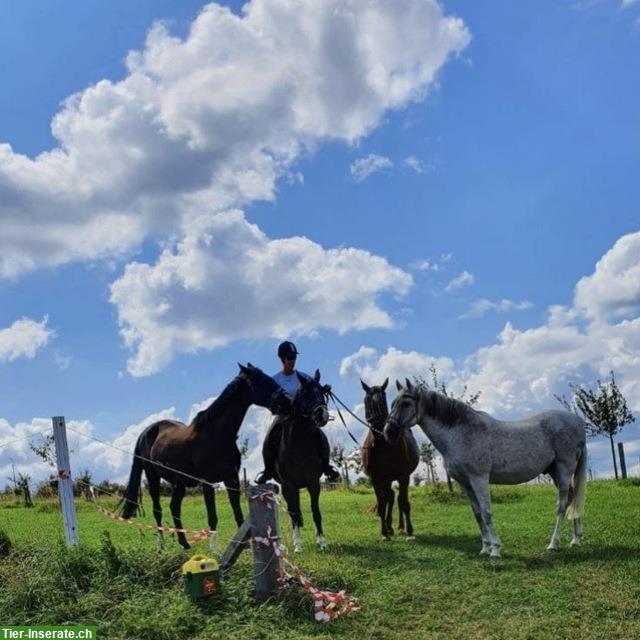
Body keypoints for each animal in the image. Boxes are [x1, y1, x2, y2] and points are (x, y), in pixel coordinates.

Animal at [119, 364, 292, 552]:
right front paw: (214, 549)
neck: (217, 434)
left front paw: (242, 545)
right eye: (262, 381)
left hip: (179, 483)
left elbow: (237, 512)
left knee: (174, 508)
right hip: (153, 477)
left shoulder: (231, 479)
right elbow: (212, 515)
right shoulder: (207, 482)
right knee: (157, 509)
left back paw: (184, 543)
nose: (288, 401)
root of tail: (146, 432)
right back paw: (161, 545)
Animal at [272, 368, 330, 552]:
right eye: (305, 394)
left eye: (322, 392)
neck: (299, 445)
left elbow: (315, 511)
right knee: (293, 511)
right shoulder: (288, 486)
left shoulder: (314, 483)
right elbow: (295, 513)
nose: (323, 415)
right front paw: (298, 545)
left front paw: (321, 542)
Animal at [362, 378, 422, 544]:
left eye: (384, 400)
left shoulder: (404, 476)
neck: (383, 445)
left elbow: (404, 503)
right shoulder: (376, 479)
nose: (382, 429)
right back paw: (389, 527)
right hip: (386, 479)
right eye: (366, 400)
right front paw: (384, 533)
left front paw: (409, 532)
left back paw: (400, 527)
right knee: (390, 497)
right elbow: (382, 504)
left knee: (397, 499)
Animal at [382, 380, 588, 556]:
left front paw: (495, 549)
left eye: (405, 404)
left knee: (562, 505)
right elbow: (478, 514)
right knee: (572, 499)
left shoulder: (479, 478)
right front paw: (485, 548)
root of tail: (578, 422)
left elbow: (487, 512)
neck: (461, 433)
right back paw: (576, 539)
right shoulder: (465, 483)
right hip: (554, 472)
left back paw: (554, 543)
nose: (388, 432)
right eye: (392, 403)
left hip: (564, 469)